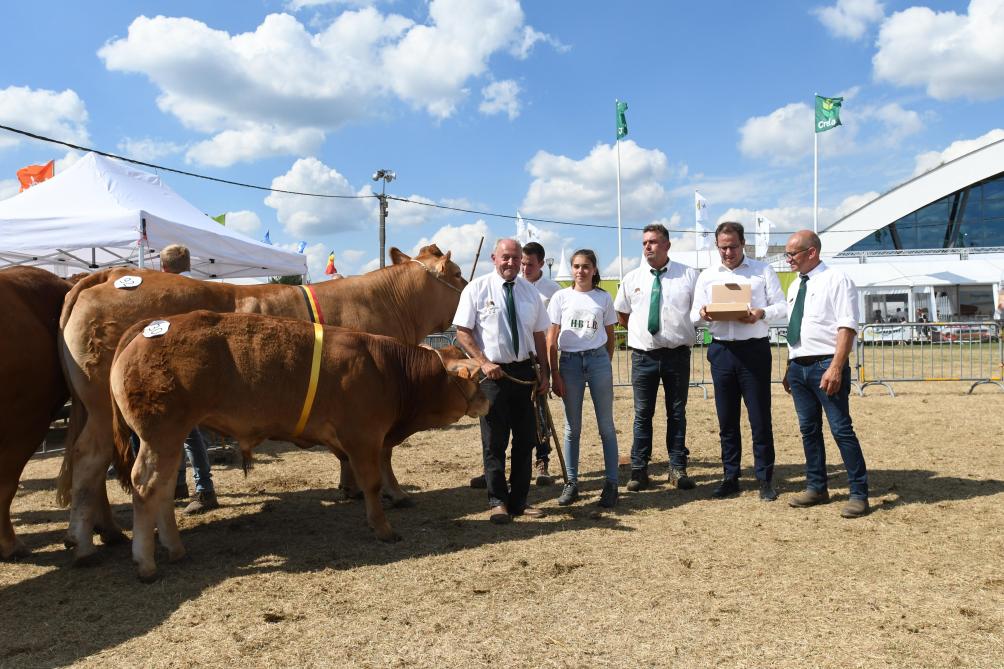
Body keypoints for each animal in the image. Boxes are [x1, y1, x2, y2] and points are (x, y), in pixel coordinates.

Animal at [55, 242, 461, 558]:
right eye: (458, 274)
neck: (387, 302)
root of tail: (106, 275)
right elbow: (384, 452)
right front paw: (393, 493)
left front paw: (350, 488)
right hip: (107, 406)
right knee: (92, 459)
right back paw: (86, 542)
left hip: (96, 409)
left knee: (88, 459)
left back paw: (103, 533)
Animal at [109, 309, 485, 582]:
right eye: (474, 379)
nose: (487, 400)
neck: (388, 369)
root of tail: (150, 325)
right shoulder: (364, 435)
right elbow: (373, 482)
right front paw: (383, 527)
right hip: (161, 433)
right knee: (146, 485)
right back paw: (146, 563)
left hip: (171, 438)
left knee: (162, 488)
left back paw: (174, 547)